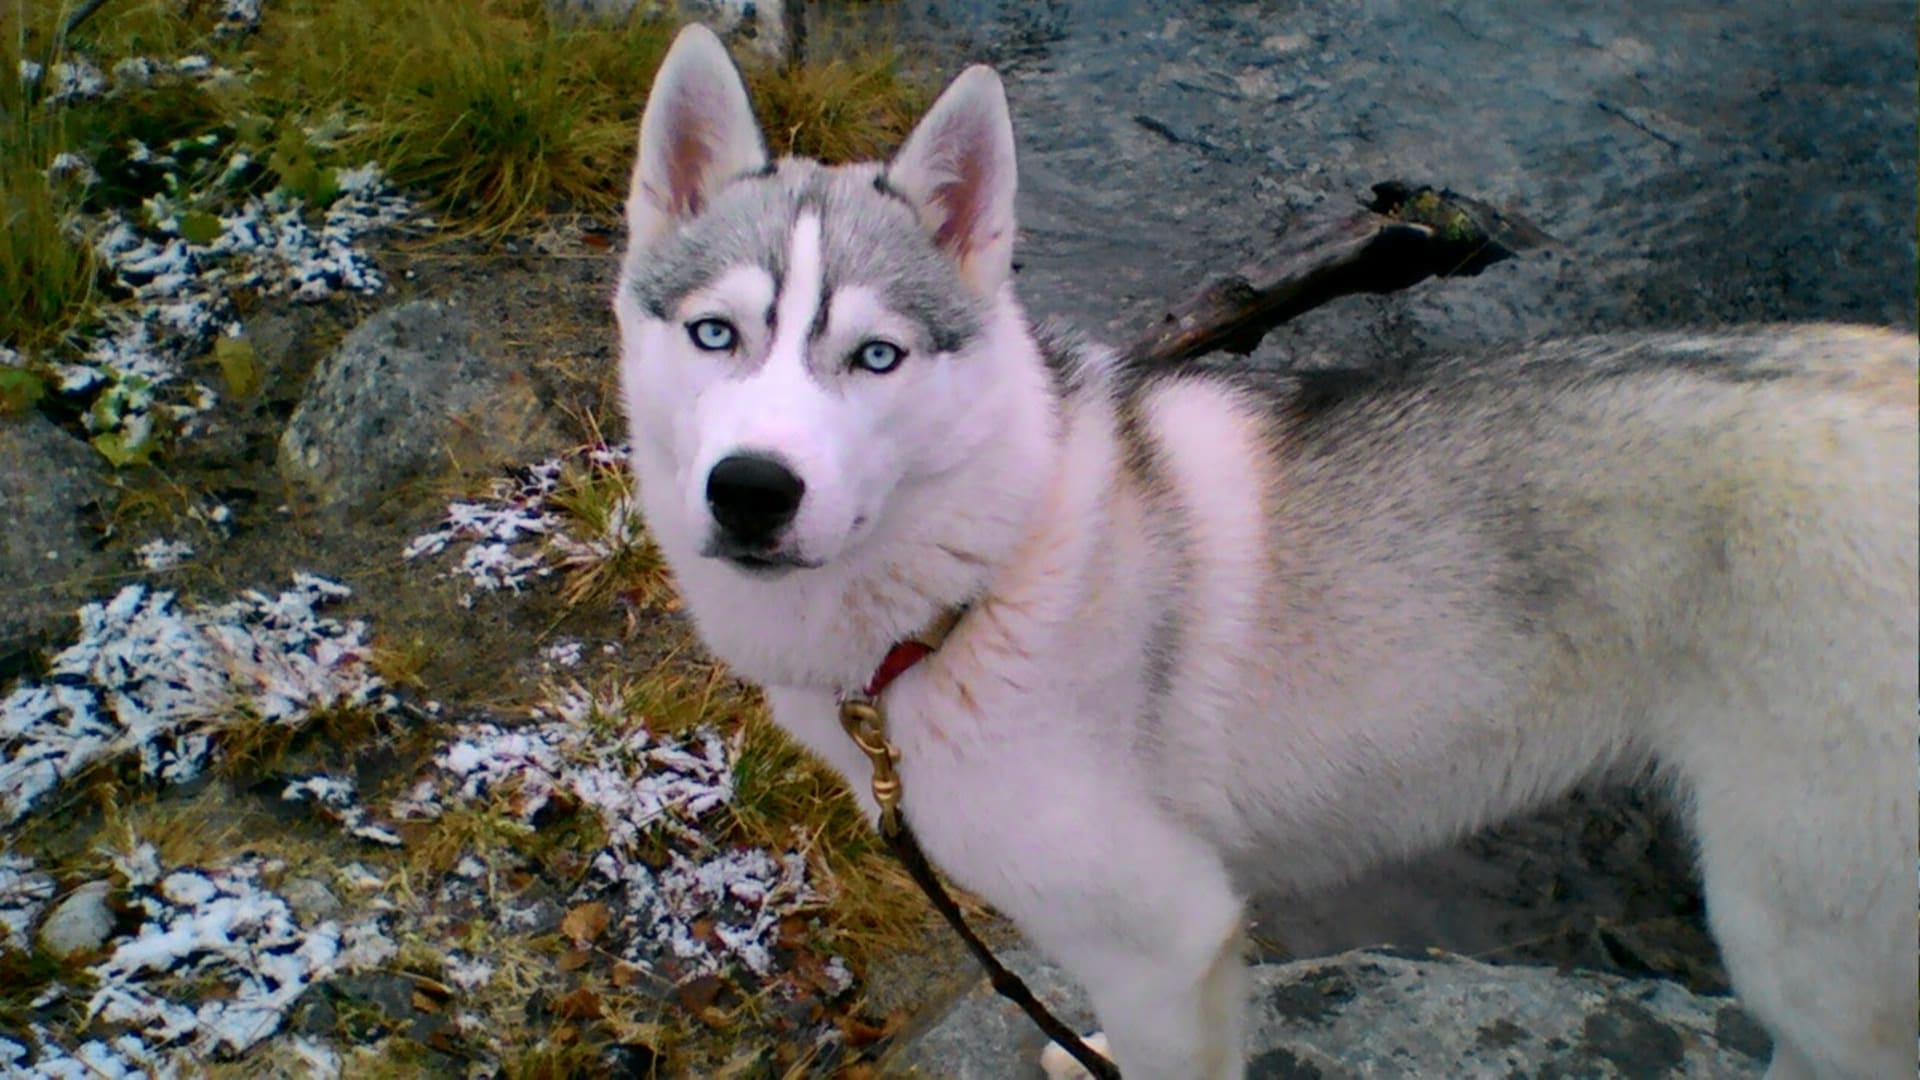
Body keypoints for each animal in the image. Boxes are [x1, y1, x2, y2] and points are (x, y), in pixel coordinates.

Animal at [618, 25, 1920, 1076]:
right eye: (716, 334)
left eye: (877, 356)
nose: (752, 491)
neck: (982, 582)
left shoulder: (1169, 934)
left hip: (1807, 941)